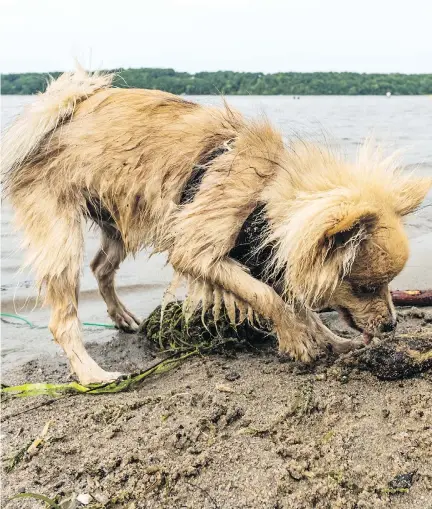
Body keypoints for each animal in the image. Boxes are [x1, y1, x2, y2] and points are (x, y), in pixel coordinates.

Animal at [2, 69, 428, 382]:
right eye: (364, 287)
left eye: (386, 286)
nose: (391, 325)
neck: (265, 192)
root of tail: (55, 114)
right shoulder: (198, 254)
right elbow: (268, 297)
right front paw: (297, 340)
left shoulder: (272, 254)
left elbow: (299, 303)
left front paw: (332, 340)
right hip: (61, 238)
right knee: (63, 320)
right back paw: (93, 375)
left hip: (118, 221)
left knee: (101, 267)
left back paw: (122, 317)